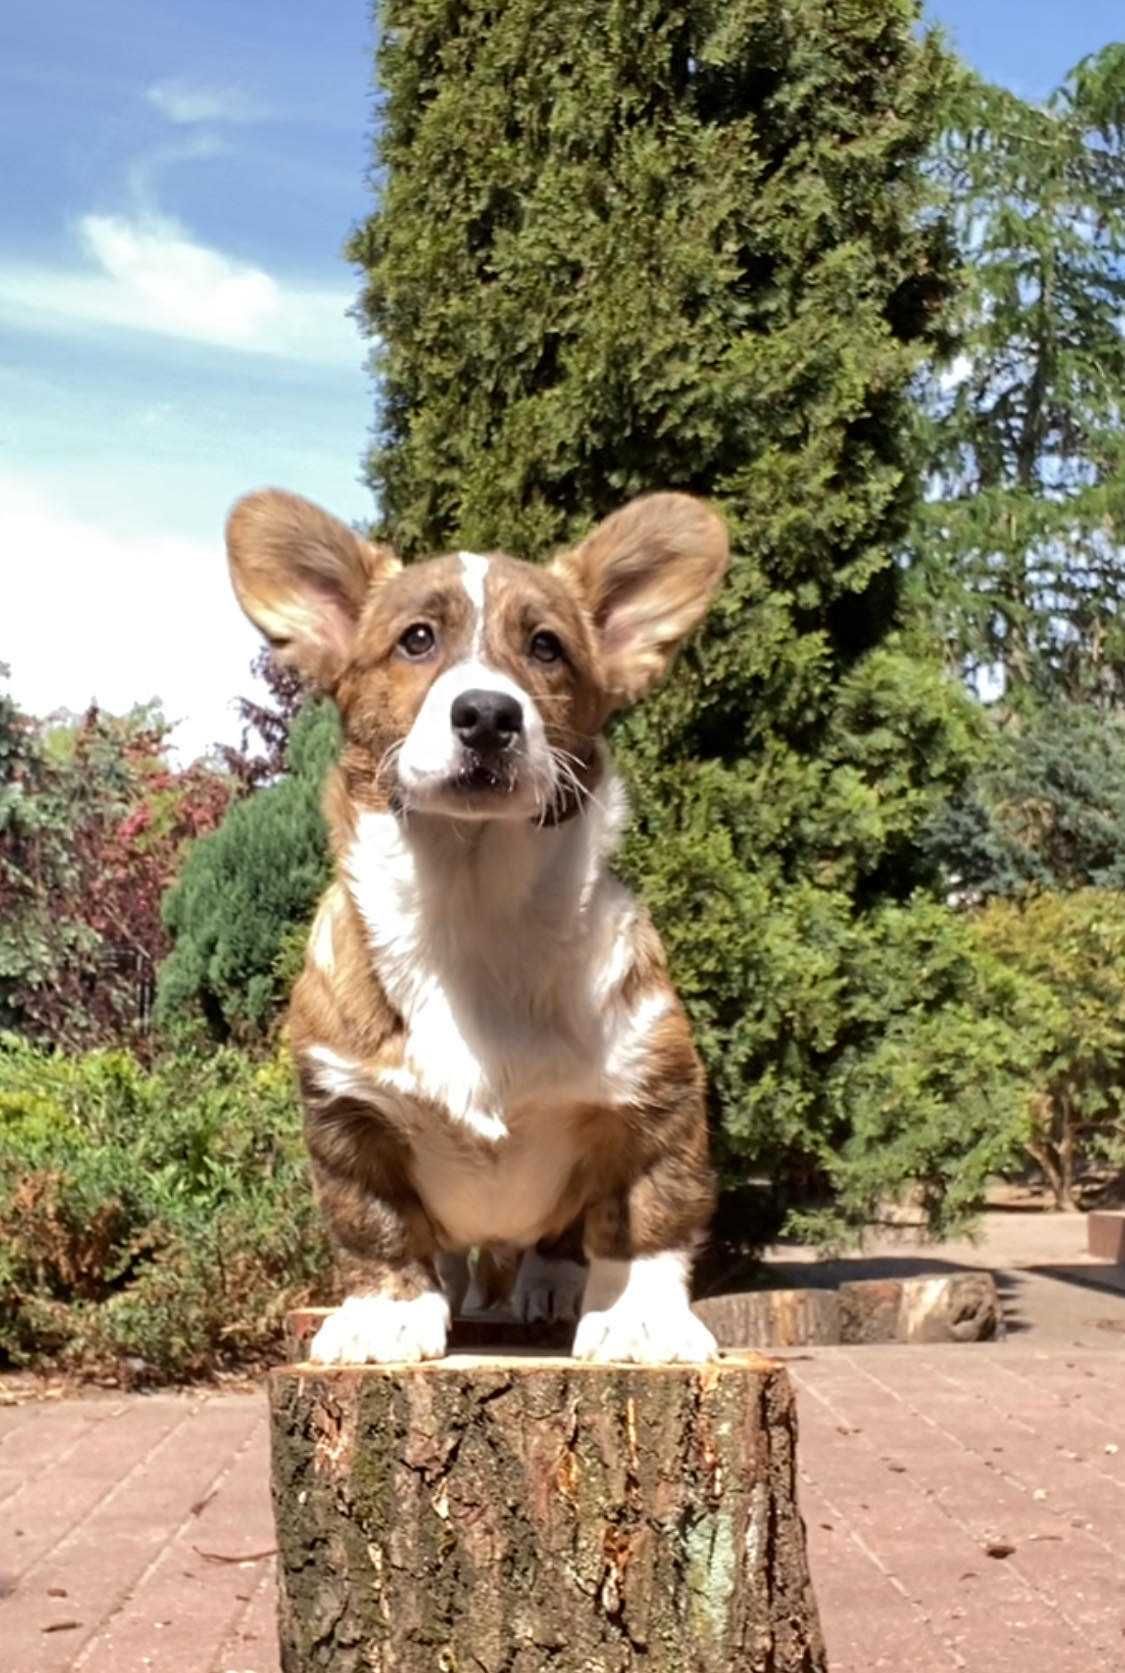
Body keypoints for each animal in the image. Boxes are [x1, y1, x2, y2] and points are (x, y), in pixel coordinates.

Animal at [226, 488, 729, 1365]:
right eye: (416, 639)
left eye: (546, 647)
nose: (489, 714)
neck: (473, 901)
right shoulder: (345, 1111)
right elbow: (375, 1222)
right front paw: (384, 1315)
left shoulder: (657, 1095)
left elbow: (647, 1213)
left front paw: (640, 1319)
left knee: (559, 1238)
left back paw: (549, 1283)